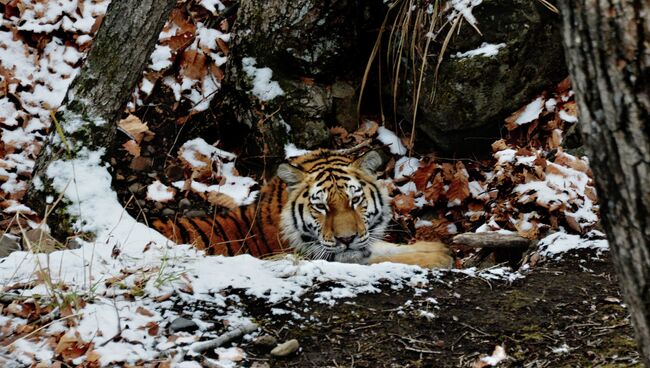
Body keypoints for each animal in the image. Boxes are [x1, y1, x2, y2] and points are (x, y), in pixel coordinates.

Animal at [152, 149, 450, 268]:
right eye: (321, 206)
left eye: (354, 200)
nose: (346, 239)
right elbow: (381, 258)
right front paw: (437, 258)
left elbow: (384, 247)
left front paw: (437, 249)